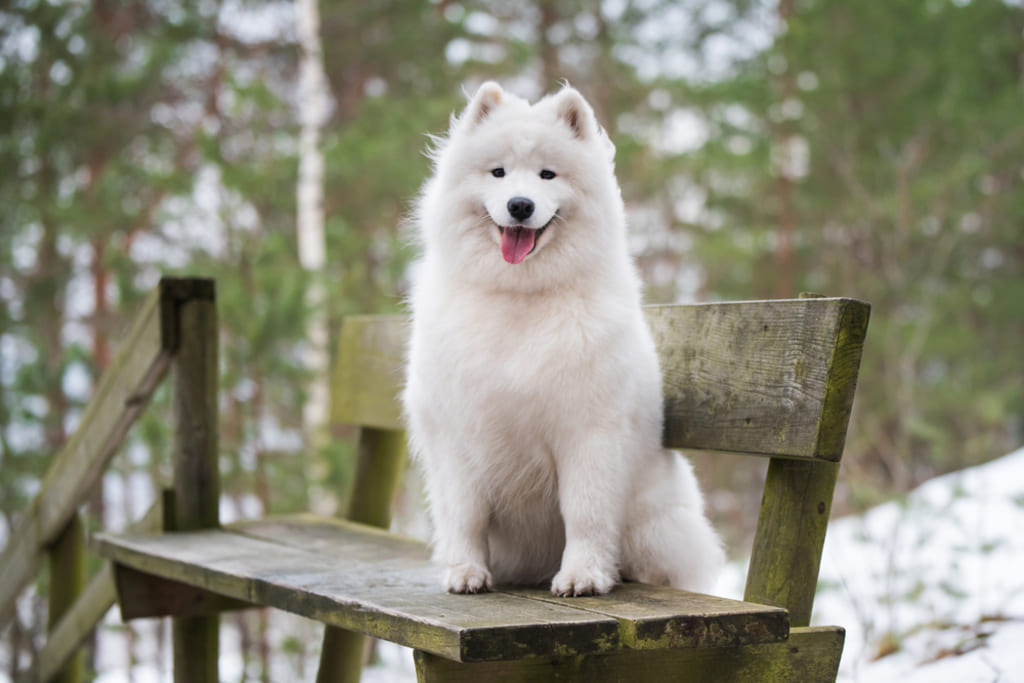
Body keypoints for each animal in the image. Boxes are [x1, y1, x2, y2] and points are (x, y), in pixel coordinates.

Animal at [403, 81, 724, 598]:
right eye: (498, 172)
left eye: (547, 174)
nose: (520, 205)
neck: (521, 298)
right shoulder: (457, 435)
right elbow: (466, 514)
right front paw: (466, 573)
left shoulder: (588, 432)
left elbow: (585, 513)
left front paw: (583, 576)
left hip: (655, 525)